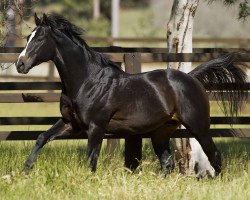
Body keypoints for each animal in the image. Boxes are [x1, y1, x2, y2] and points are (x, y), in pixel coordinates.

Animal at [16, 13, 248, 177]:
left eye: (40, 38)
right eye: (28, 37)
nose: (20, 64)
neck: (86, 81)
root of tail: (192, 78)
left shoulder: (96, 126)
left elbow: (92, 158)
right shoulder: (70, 123)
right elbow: (42, 137)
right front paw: (25, 171)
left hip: (198, 126)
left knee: (215, 156)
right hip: (161, 132)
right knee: (167, 163)